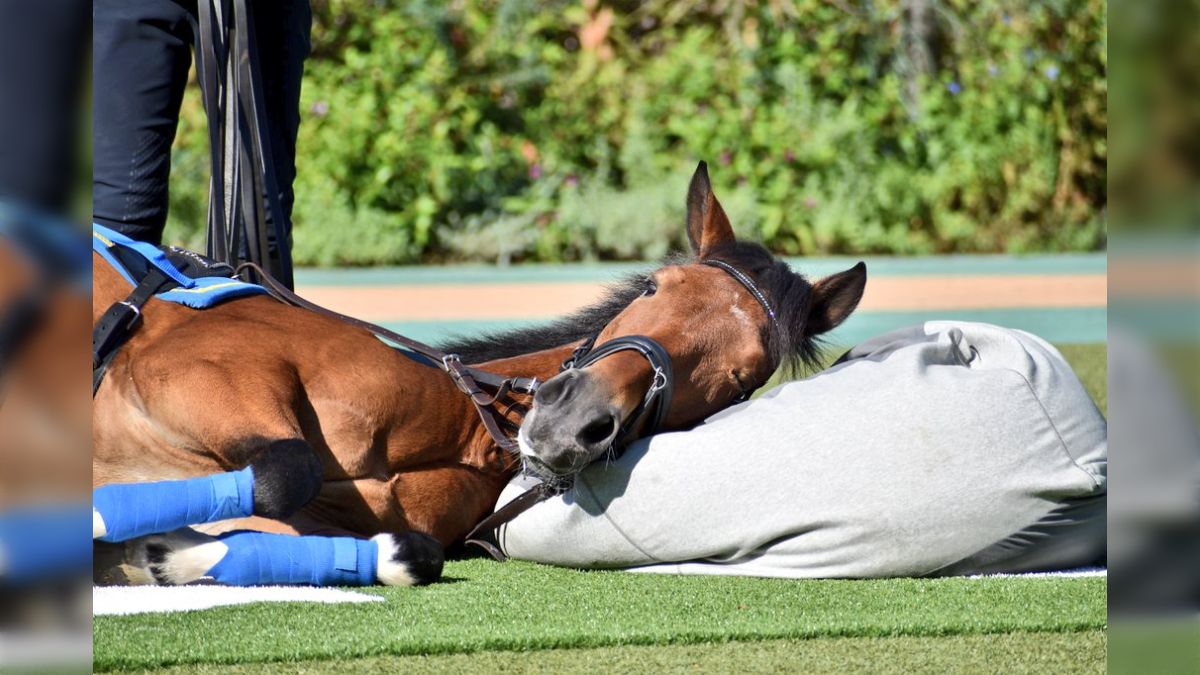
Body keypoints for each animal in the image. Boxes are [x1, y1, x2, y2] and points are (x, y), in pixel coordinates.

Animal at [91, 163, 867, 587]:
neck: (458, 421)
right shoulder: (194, 371)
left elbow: (401, 546)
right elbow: (287, 469)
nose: (569, 424)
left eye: (743, 377)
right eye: (655, 286)